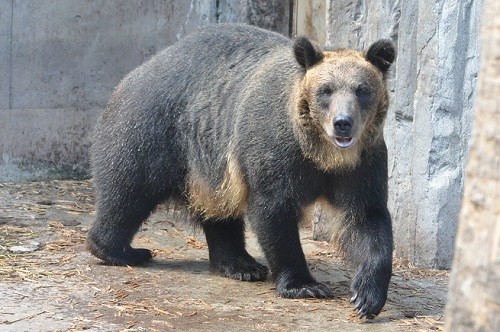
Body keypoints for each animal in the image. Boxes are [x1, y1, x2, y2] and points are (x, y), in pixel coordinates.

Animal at [88, 23, 396, 320]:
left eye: (361, 90)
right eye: (326, 90)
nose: (342, 123)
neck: (321, 154)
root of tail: (141, 68)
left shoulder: (362, 165)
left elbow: (368, 220)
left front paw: (366, 296)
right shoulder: (275, 151)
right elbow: (274, 211)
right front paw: (304, 284)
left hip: (210, 164)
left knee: (219, 212)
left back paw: (241, 264)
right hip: (155, 130)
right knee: (130, 188)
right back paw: (123, 250)